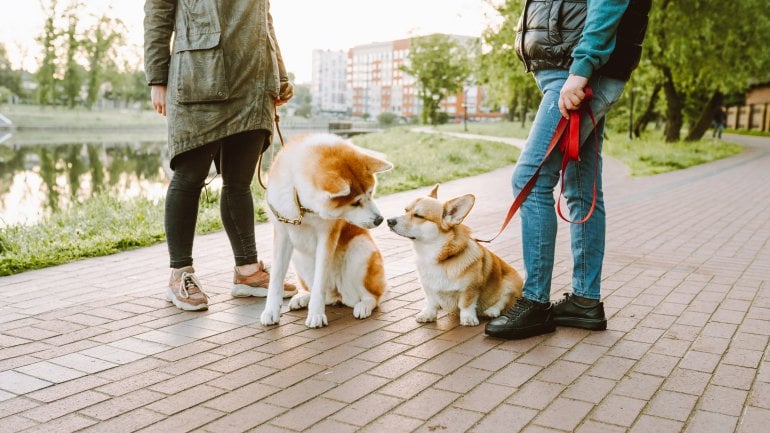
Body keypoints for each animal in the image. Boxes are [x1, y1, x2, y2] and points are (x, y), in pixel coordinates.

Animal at [260, 132, 392, 328]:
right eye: (355, 203)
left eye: (371, 193)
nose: (379, 220)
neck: (302, 207)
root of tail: (338, 294)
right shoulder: (282, 233)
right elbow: (275, 279)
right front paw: (270, 311)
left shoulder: (327, 235)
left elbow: (319, 281)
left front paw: (316, 313)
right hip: (299, 258)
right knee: (323, 294)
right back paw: (303, 298)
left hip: (361, 249)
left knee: (372, 297)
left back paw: (363, 306)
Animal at [384, 184, 520, 326]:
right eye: (405, 210)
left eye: (418, 216)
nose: (389, 221)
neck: (432, 253)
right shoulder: (428, 287)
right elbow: (431, 302)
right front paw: (428, 314)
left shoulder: (470, 288)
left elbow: (466, 304)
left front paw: (468, 318)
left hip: (511, 284)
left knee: (504, 301)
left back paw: (491, 311)